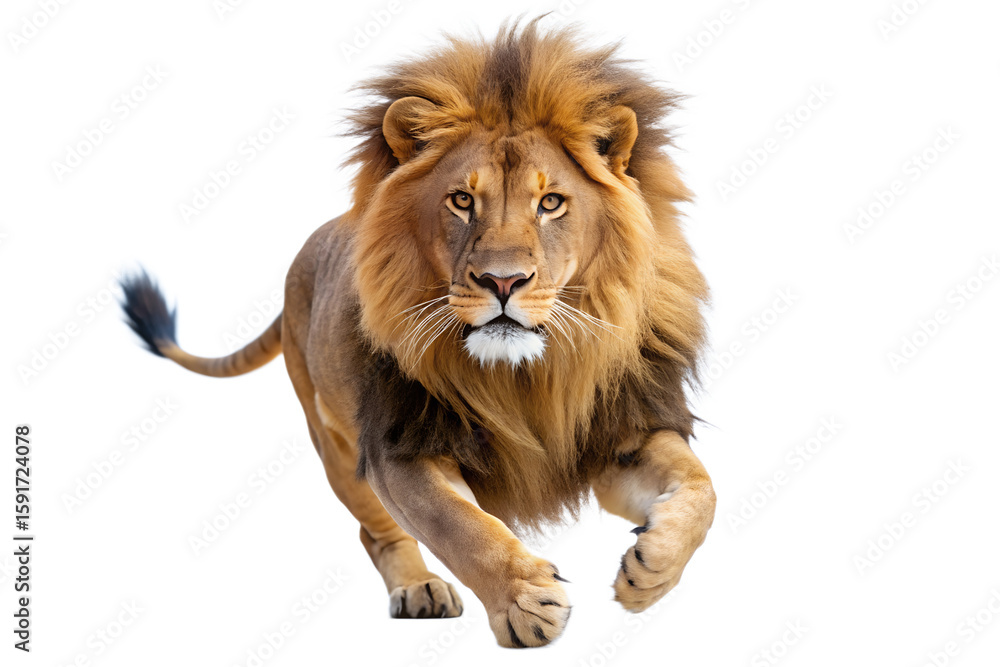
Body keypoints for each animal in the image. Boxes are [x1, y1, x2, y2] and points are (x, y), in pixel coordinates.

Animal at [119, 19, 716, 648]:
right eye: (462, 200)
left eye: (551, 202)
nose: (503, 281)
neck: (526, 376)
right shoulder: (401, 442)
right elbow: (458, 523)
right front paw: (525, 601)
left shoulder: (620, 429)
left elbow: (702, 488)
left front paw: (654, 565)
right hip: (334, 441)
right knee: (377, 530)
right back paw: (419, 587)